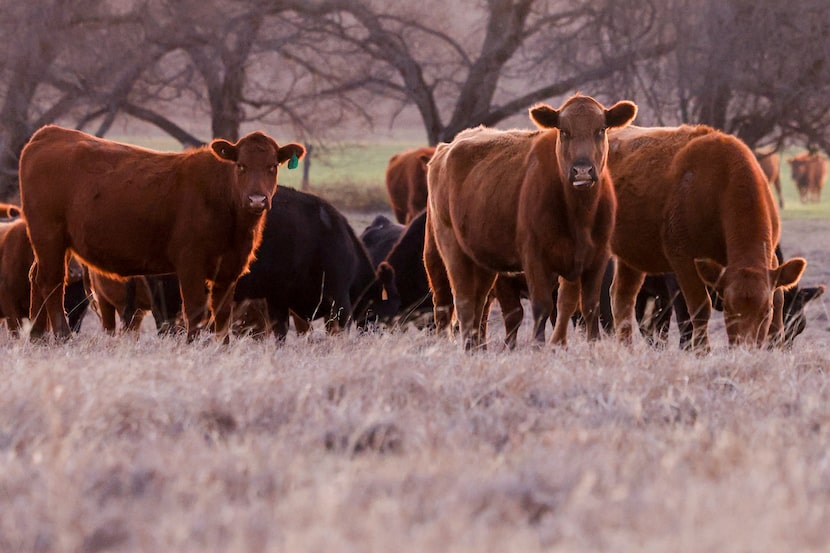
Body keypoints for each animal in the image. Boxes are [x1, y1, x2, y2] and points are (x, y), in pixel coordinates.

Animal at [18, 125, 306, 340]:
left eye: (272, 166)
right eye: (241, 165)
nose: (257, 199)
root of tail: (50, 133)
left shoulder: (229, 269)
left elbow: (222, 315)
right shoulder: (190, 264)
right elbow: (195, 311)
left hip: (58, 242)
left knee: (36, 277)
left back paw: (36, 336)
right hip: (49, 234)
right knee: (51, 281)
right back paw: (61, 336)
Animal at [426, 92, 640, 348]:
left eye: (600, 129)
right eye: (564, 131)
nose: (582, 171)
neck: (579, 215)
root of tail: (446, 148)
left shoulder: (596, 257)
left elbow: (589, 306)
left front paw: (593, 344)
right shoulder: (535, 257)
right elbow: (542, 307)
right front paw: (538, 346)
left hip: (482, 259)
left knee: (479, 303)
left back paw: (476, 348)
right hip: (450, 250)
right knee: (462, 302)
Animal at [608, 125, 808, 350]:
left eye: (766, 310)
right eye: (729, 309)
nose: (745, 347)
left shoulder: (771, 258)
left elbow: (779, 299)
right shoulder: (683, 260)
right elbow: (699, 308)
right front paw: (701, 351)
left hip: (631, 257)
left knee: (622, 297)